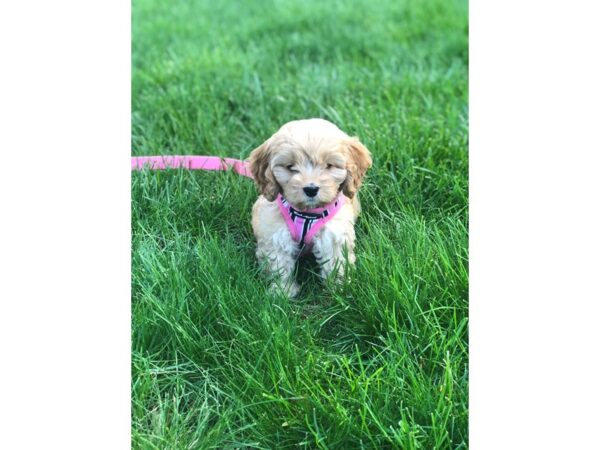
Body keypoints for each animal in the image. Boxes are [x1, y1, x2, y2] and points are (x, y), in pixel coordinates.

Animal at [247, 118, 370, 298]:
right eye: (291, 167)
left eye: (329, 165)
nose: (311, 189)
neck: (307, 213)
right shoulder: (275, 233)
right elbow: (279, 263)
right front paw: (283, 291)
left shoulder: (333, 233)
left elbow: (336, 261)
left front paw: (339, 289)